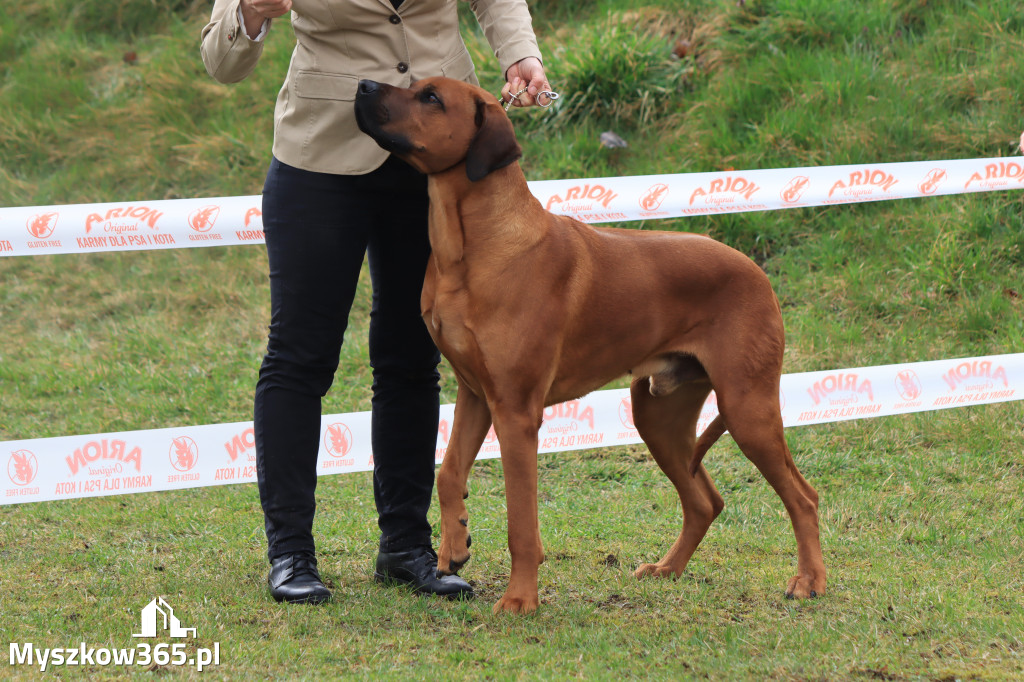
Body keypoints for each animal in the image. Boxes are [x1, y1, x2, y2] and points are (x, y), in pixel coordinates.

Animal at [352, 76, 823, 614]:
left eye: (431, 98)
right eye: (413, 85)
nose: (363, 84)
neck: (471, 245)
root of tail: (757, 271)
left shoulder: (515, 411)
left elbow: (522, 524)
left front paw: (520, 600)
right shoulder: (475, 393)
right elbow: (448, 472)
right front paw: (454, 546)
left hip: (747, 408)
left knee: (802, 497)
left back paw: (809, 581)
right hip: (658, 415)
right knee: (706, 501)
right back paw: (668, 569)